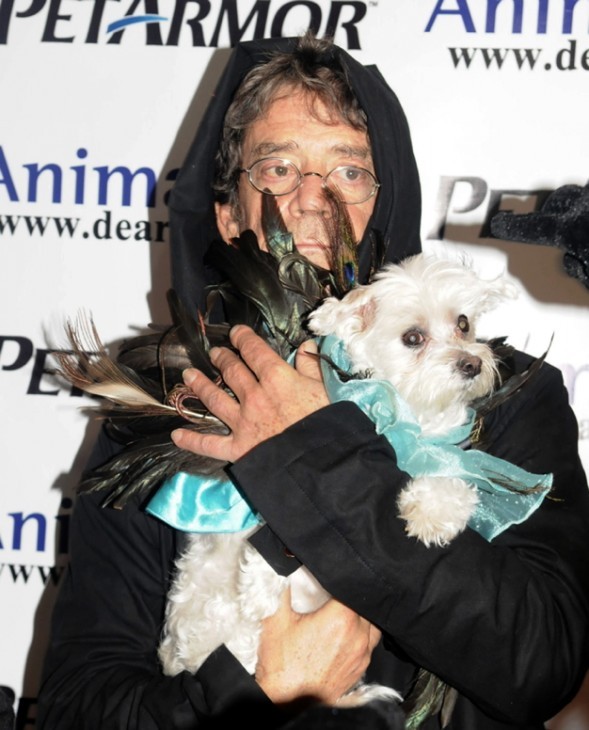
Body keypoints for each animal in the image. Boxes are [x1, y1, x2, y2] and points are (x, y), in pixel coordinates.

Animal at [158, 253, 516, 704]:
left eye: (464, 323)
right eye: (413, 337)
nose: (472, 363)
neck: (407, 421)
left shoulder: (441, 454)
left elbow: (454, 478)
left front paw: (432, 512)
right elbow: (273, 537)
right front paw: (259, 588)